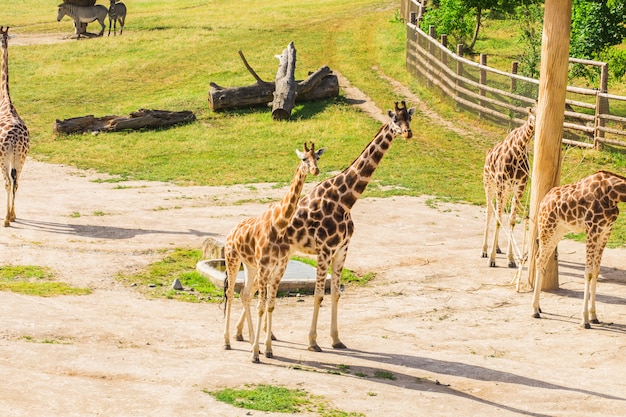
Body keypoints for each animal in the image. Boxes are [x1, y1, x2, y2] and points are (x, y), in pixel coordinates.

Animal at [222, 141, 324, 360]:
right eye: (304, 158)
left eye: (318, 157)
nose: (315, 170)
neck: (280, 225)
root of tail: (230, 232)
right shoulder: (265, 267)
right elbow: (261, 307)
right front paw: (255, 355)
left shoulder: (279, 269)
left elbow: (270, 305)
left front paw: (267, 349)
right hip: (232, 260)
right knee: (230, 292)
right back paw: (227, 342)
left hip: (249, 266)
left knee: (245, 295)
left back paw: (252, 341)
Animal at [480, 107, 532, 268]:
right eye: (532, 113)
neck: (518, 150)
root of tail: (488, 152)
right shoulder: (501, 186)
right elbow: (497, 219)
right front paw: (492, 259)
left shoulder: (519, 188)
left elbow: (511, 221)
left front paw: (511, 259)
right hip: (489, 185)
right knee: (490, 212)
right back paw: (484, 250)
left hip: (505, 191)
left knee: (500, 212)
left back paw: (497, 248)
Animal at [528, 169, 624, 328]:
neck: (613, 194)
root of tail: (543, 201)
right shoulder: (592, 230)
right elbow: (588, 273)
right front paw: (585, 320)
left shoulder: (605, 232)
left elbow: (596, 272)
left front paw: (594, 316)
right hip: (547, 227)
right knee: (540, 260)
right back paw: (534, 310)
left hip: (559, 230)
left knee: (540, 259)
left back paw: (538, 308)